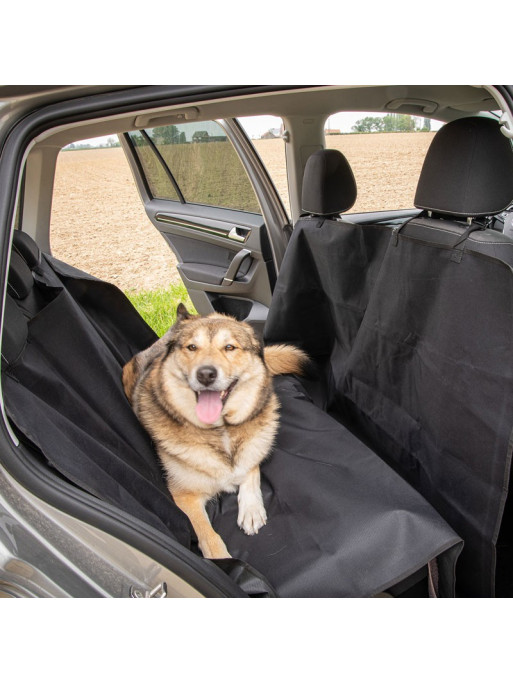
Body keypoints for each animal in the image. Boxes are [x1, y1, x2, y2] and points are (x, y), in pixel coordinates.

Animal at [122, 306, 306, 560]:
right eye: (192, 347)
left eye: (229, 347)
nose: (206, 374)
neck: (222, 430)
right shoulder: (184, 496)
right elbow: (209, 537)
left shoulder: (253, 450)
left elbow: (251, 472)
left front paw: (251, 509)